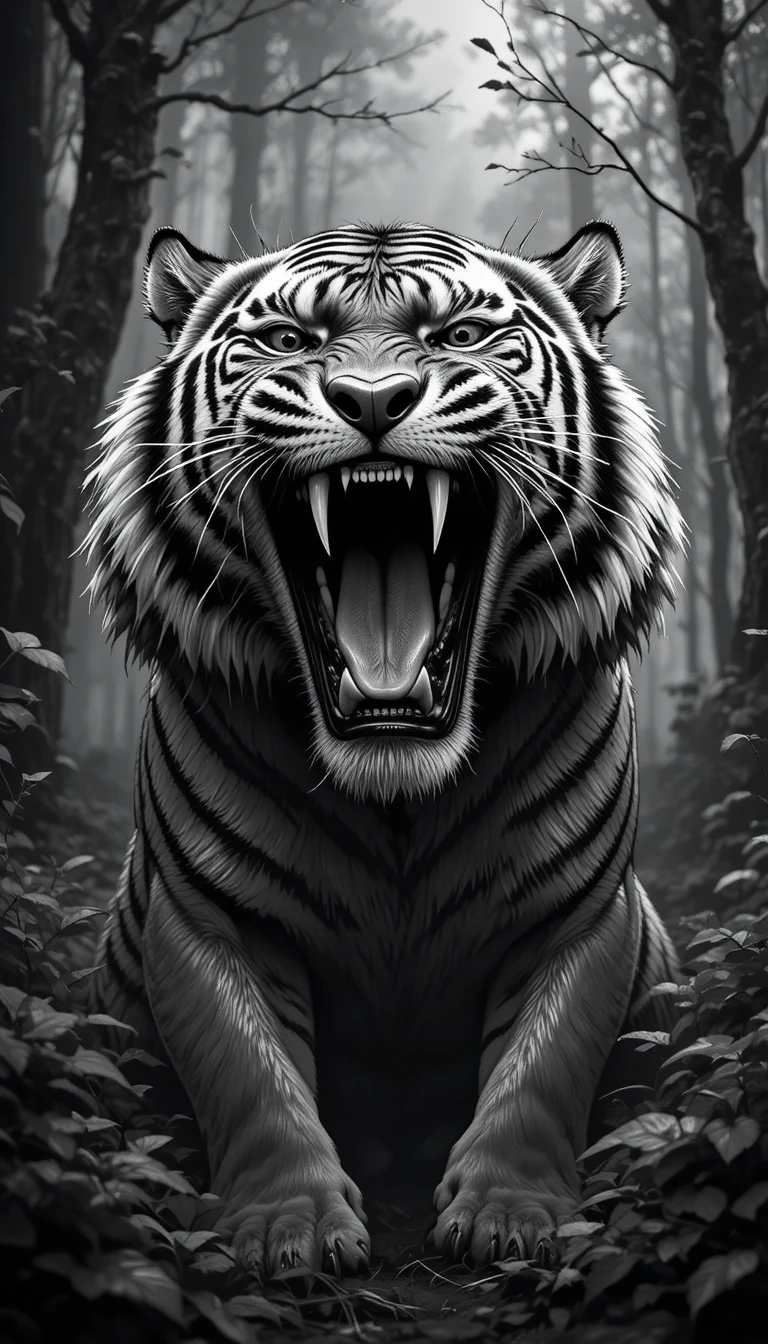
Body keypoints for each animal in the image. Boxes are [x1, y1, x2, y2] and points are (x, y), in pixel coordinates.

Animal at [84, 219, 682, 1278]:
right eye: (288, 341)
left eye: (459, 335)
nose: (372, 400)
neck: (397, 789)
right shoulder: (206, 920)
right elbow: (248, 1070)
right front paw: (289, 1229)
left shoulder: (581, 915)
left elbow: (547, 1060)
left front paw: (510, 1215)